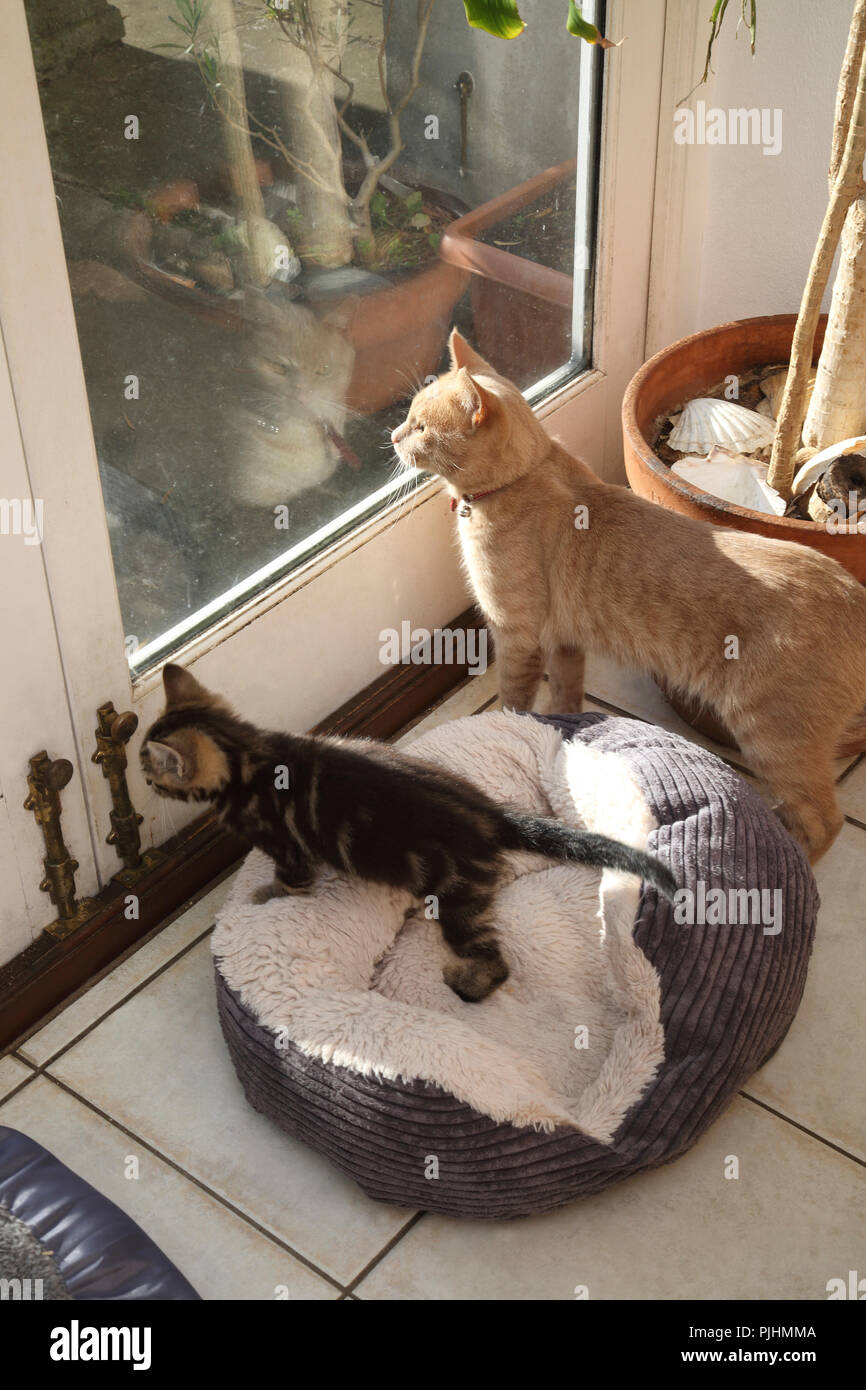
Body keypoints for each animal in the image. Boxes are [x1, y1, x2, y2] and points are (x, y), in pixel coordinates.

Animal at [140, 661, 678, 1000]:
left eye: (148, 765)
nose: (142, 779)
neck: (244, 752)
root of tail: (492, 816)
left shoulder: (287, 848)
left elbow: (290, 881)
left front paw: (264, 896)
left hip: (459, 899)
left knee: (494, 960)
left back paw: (466, 986)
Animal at [389, 330, 866, 861]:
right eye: (409, 416)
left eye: (421, 427)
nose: (392, 436)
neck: (526, 476)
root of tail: (854, 597)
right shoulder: (565, 643)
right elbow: (565, 699)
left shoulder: (517, 636)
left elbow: (512, 701)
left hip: (773, 735)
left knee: (823, 822)